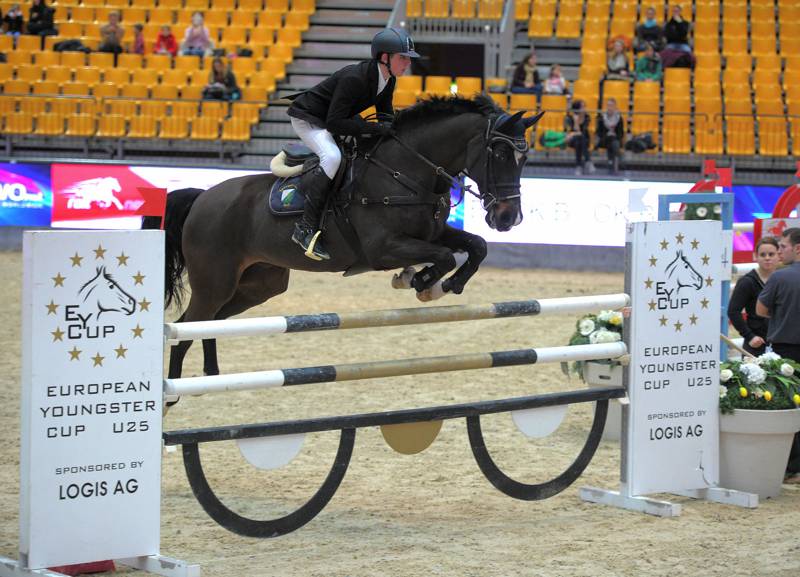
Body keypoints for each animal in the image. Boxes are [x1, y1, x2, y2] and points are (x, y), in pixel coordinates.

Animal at [155, 95, 544, 378]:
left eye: (525, 159)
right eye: (499, 153)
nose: (507, 217)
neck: (405, 170)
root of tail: (202, 198)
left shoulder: (434, 232)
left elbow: (475, 247)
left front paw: (441, 284)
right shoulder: (382, 249)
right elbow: (443, 256)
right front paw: (421, 282)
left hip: (260, 283)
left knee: (211, 322)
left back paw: (210, 377)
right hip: (215, 282)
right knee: (185, 327)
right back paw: (173, 396)